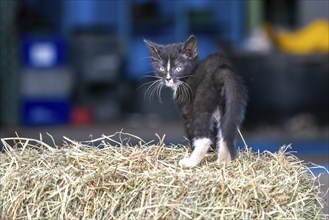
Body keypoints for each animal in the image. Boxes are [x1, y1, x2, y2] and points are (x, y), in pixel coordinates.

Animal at [144, 35, 246, 168]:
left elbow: (191, 131)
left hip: (201, 100)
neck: (186, 78)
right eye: (161, 68)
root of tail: (220, 72)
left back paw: (190, 162)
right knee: (225, 132)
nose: (168, 78)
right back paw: (222, 162)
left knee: (204, 138)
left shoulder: (187, 108)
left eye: (178, 68)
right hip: (228, 105)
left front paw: (193, 150)